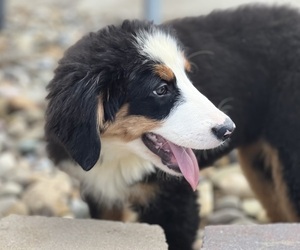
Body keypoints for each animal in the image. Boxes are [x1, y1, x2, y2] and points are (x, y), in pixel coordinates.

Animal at [45, 3, 300, 250]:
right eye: (161, 89)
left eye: (189, 76)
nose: (228, 129)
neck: (117, 155)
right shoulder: (101, 194)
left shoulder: (175, 203)